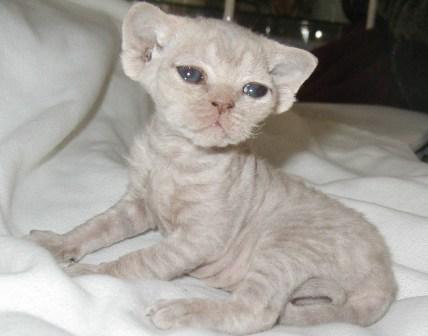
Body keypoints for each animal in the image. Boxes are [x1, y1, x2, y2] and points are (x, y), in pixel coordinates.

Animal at [30, 1, 398, 334]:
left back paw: (183, 310)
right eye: (191, 74)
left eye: (254, 90)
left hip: (288, 243)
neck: (175, 155)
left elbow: (141, 260)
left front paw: (94, 273)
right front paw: (57, 243)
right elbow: (97, 226)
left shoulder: (201, 237)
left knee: (258, 311)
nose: (223, 103)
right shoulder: (138, 204)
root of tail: (387, 280)